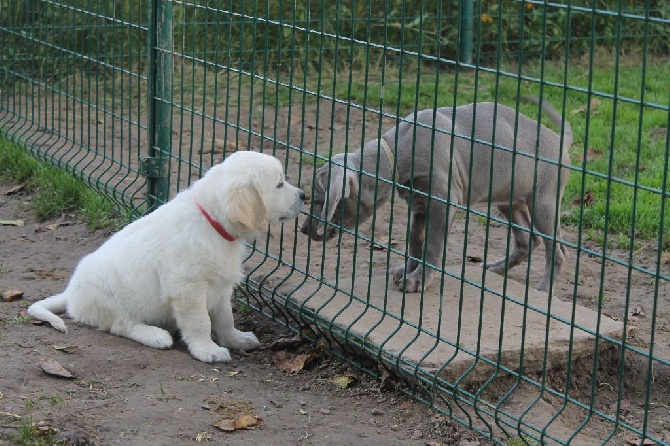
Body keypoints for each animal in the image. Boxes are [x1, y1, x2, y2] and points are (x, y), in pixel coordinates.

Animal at [28, 151, 306, 362]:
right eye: (279, 184)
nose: (304, 195)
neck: (211, 222)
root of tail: (71, 294)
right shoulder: (188, 289)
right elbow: (201, 323)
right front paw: (208, 350)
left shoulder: (221, 287)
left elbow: (225, 318)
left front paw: (236, 339)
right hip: (105, 292)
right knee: (121, 324)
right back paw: (154, 335)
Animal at [302, 97, 576, 292]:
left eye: (319, 200)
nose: (304, 230)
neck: (397, 152)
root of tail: (560, 141)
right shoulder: (420, 204)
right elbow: (415, 239)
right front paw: (408, 269)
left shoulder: (443, 202)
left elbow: (432, 245)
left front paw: (418, 280)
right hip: (510, 200)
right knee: (528, 240)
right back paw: (495, 268)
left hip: (543, 203)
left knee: (558, 251)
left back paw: (542, 291)